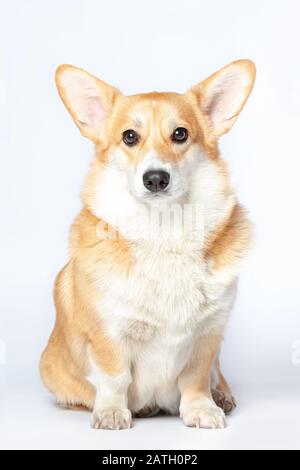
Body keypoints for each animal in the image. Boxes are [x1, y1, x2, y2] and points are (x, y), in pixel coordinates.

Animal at [39, 59, 255, 430]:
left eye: (180, 134)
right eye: (130, 136)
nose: (155, 178)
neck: (164, 230)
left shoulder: (207, 337)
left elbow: (197, 378)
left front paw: (201, 409)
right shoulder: (109, 335)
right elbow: (115, 377)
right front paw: (112, 412)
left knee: (217, 374)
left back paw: (222, 396)